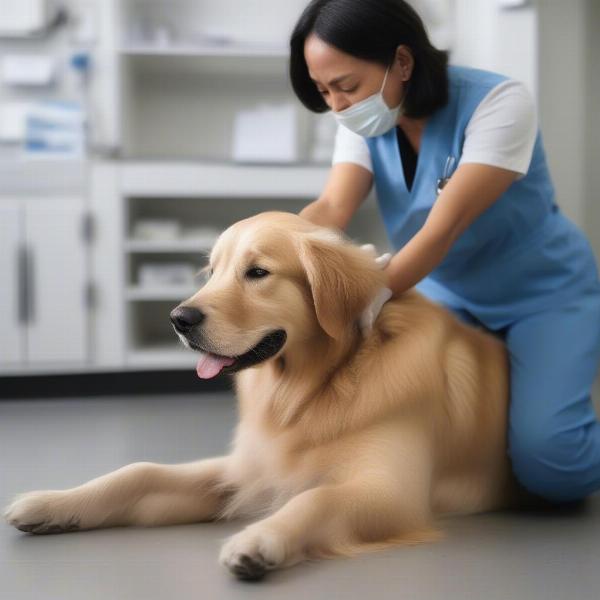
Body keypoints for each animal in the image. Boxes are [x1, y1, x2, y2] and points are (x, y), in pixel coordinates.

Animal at [3, 211, 540, 580]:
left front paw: (260, 540)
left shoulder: (391, 494)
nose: (179, 319)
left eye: (257, 273)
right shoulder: (247, 470)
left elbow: (315, 500)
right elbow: (138, 473)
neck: (313, 387)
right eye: (212, 272)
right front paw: (52, 503)